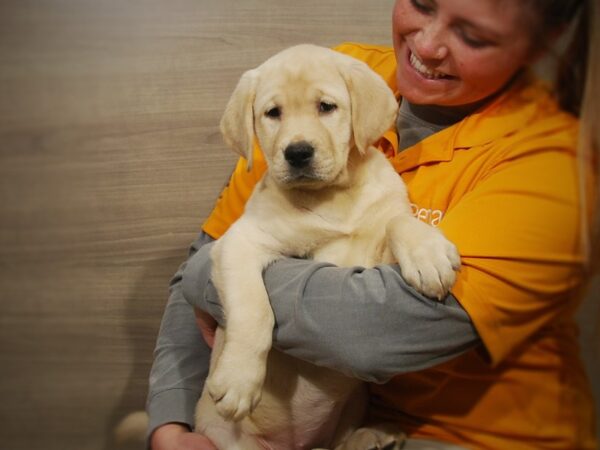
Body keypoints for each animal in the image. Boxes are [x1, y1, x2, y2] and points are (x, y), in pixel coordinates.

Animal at [199, 45, 462, 450]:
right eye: (272, 113)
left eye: (326, 106)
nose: (297, 153)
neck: (333, 196)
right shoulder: (241, 242)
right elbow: (253, 308)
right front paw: (239, 379)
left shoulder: (374, 255)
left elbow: (398, 221)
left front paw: (427, 253)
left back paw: (374, 434)